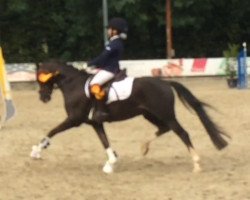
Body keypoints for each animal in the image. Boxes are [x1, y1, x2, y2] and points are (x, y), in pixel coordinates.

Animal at [30, 59, 229, 173]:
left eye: (40, 78)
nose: (43, 97)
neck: (74, 85)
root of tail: (165, 83)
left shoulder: (74, 119)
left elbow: (52, 131)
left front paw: (37, 150)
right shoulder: (95, 123)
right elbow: (104, 141)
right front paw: (111, 161)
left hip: (165, 114)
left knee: (182, 133)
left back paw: (196, 163)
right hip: (150, 114)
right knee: (163, 128)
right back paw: (144, 147)